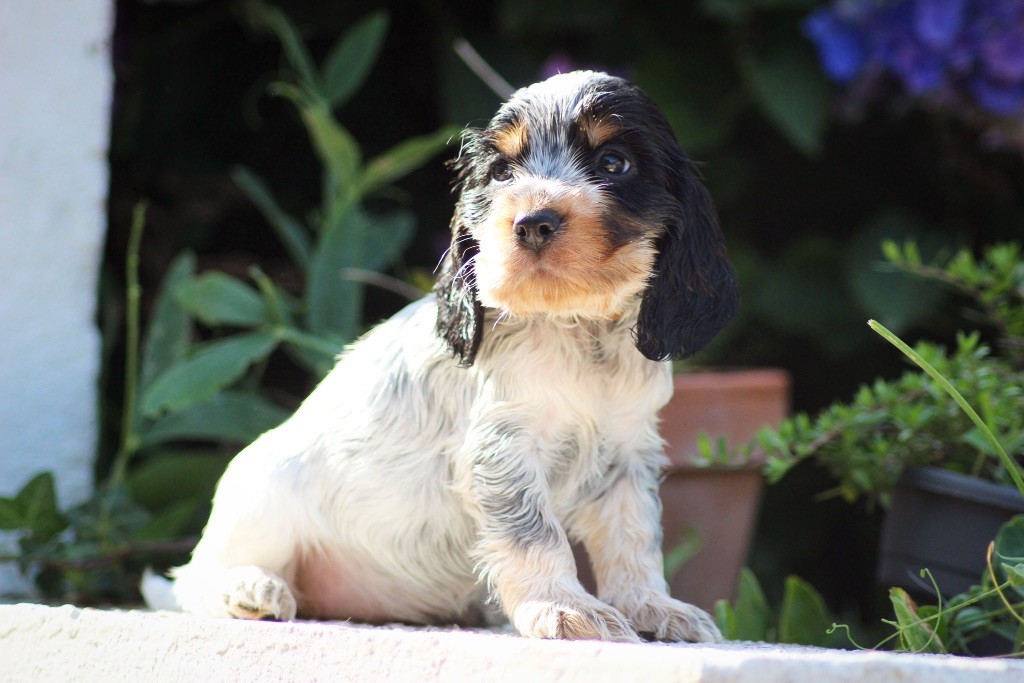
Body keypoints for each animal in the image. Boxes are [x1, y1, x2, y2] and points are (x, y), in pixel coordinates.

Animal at [157, 72, 737, 643]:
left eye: (614, 163)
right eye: (501, 173)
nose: (532, 222)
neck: (577, 330)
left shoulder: (627, 454)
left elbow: (634, 538)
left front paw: (653, 608)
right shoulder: (503, 449)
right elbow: (535, 533)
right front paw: (563, 607)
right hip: (263, 493)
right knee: (193, 580)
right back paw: (251, 589)